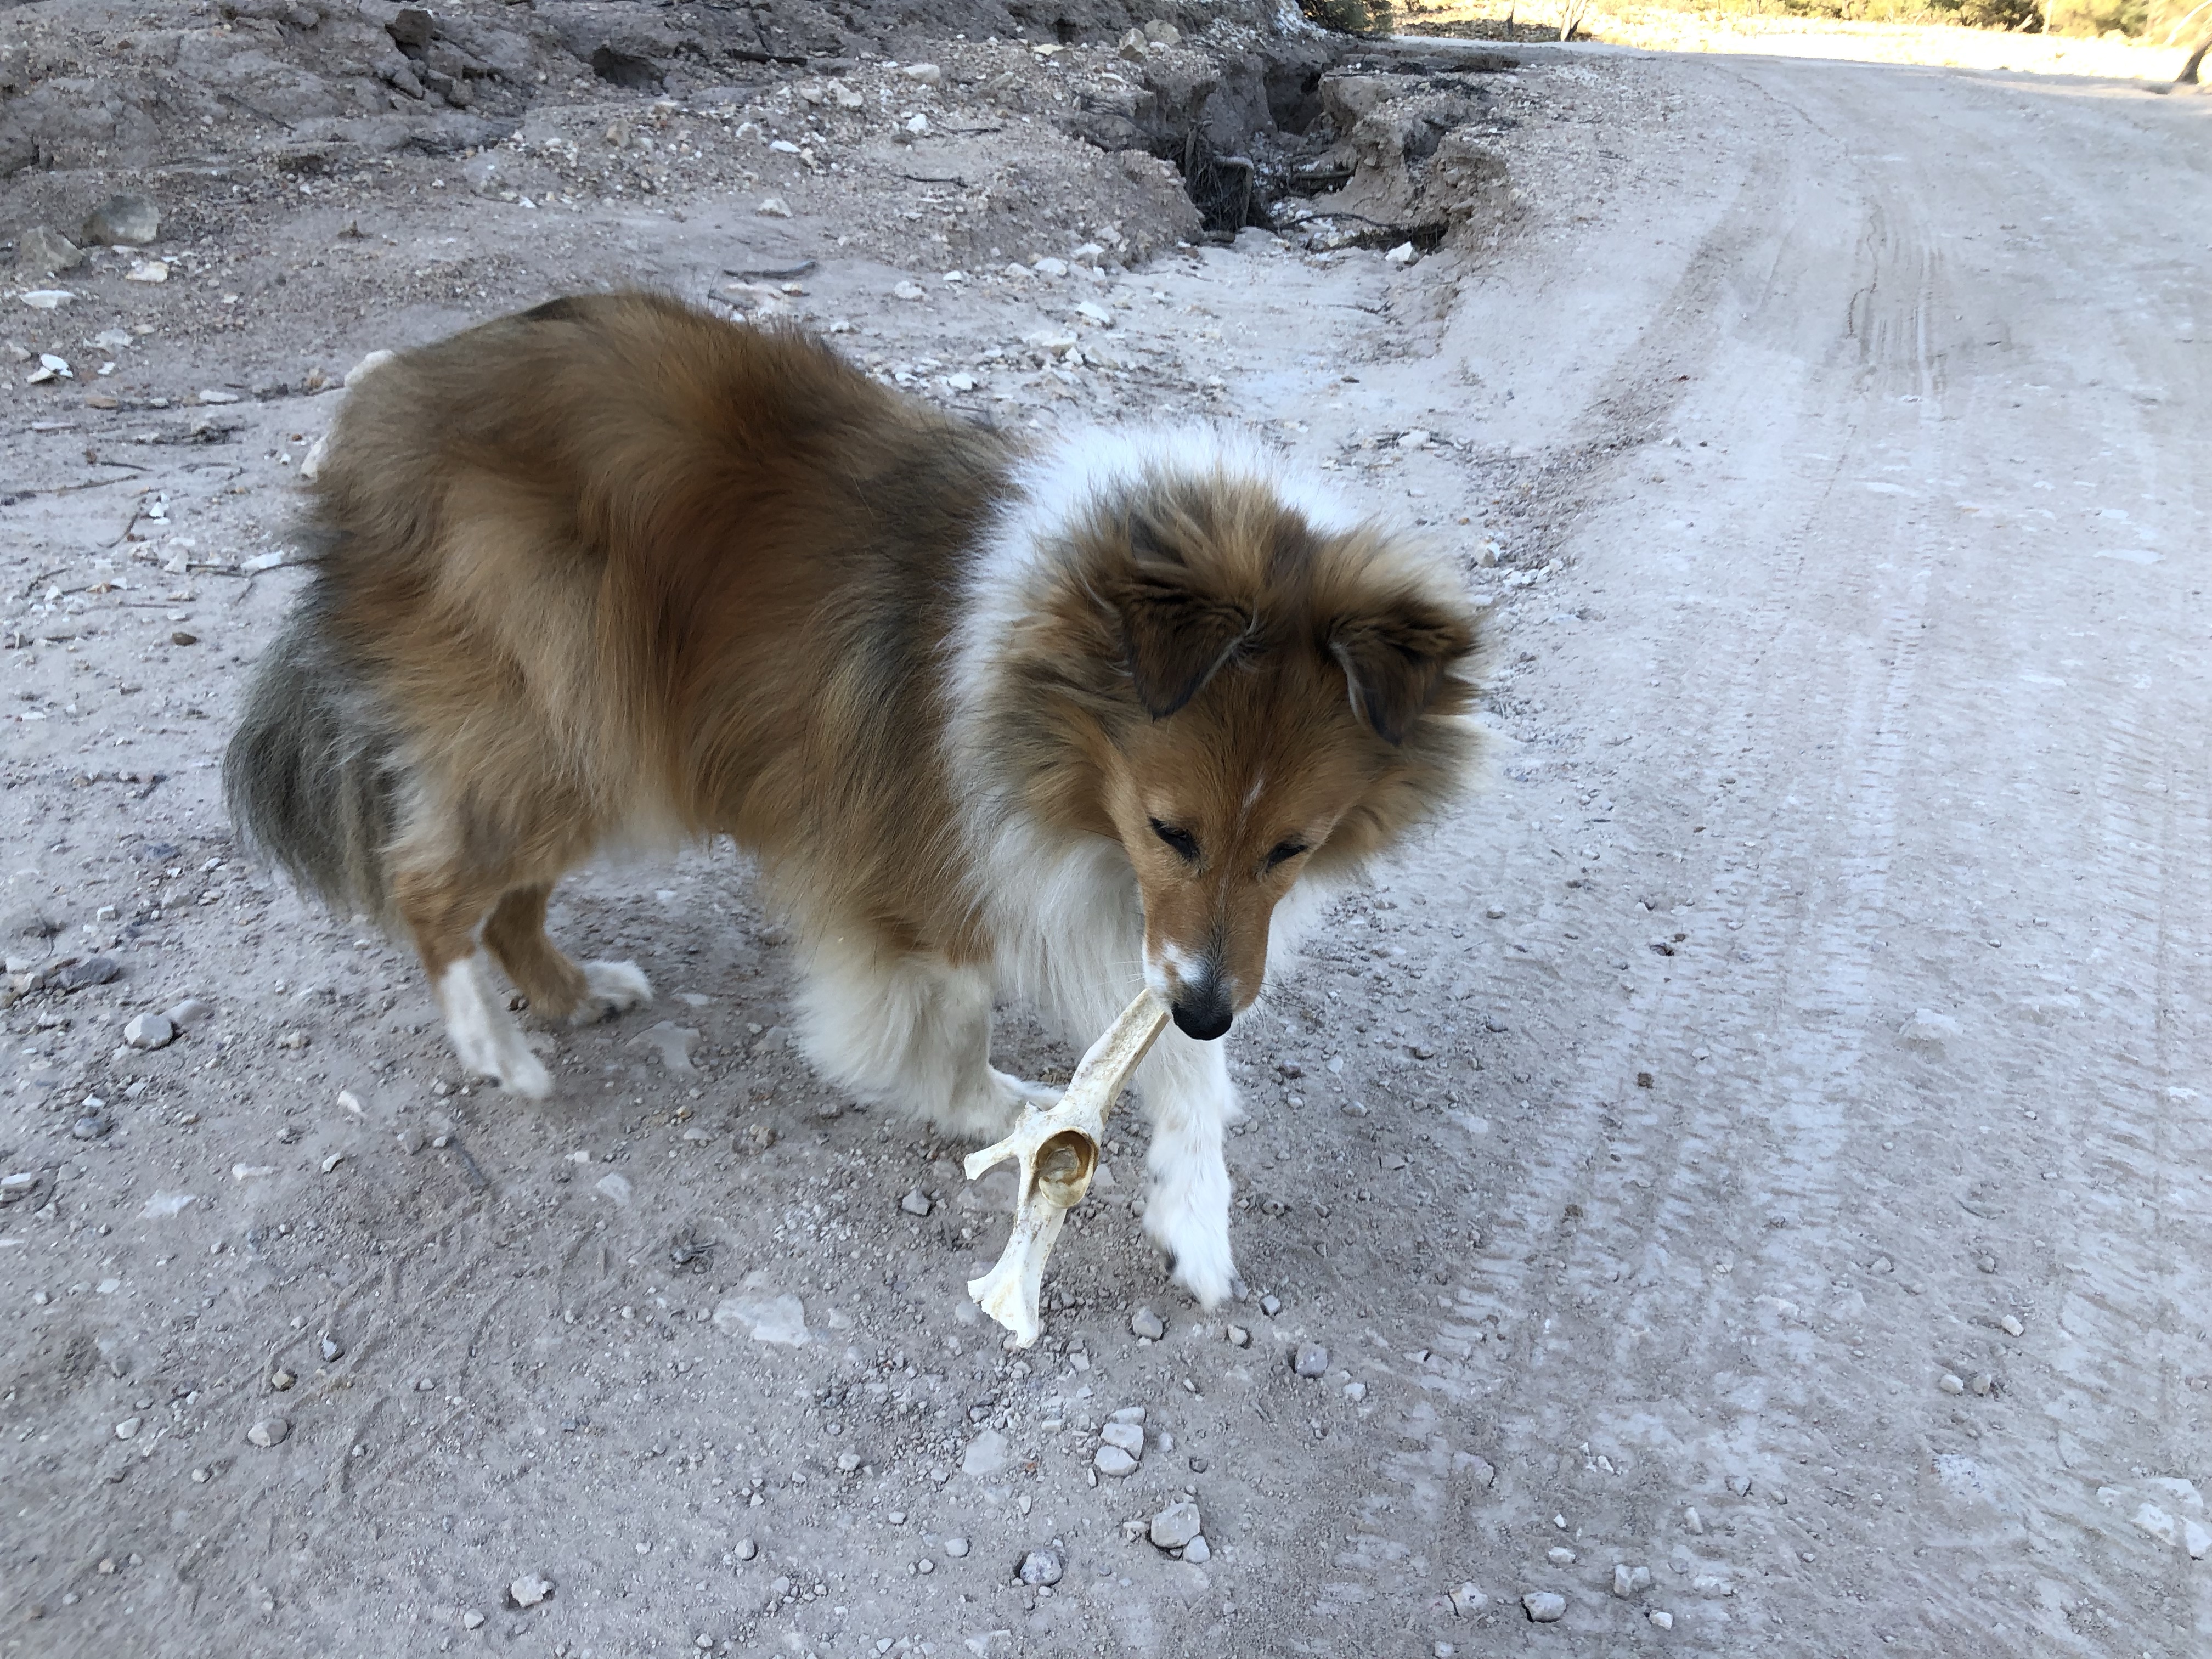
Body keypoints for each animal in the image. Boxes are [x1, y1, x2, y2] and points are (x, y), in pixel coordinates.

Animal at [224, 291, 1484, 1306]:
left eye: (1295, 848)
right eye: (1171, 827)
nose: (1216, 1009)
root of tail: (372, 413)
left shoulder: (1158, 927)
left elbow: (1181, 1064)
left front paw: (1196, 1223)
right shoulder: (936, 862)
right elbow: (962, 1016)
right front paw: (989, 1111)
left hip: (602, 750)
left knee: (508, 899)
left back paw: (578, 994)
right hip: (571, 730)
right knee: (432, 884)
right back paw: (499, 1050)